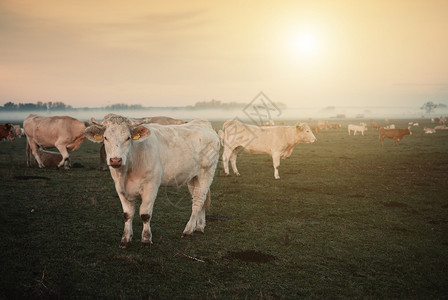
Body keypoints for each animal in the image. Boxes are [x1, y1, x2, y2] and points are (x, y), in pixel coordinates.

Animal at [82, 113, 220, 247]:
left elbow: (145, 214)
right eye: (105, 138)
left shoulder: (151, 186)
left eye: (128, 138)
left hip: (206, 172)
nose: (116, 160)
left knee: (198, 201)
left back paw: (188, 230)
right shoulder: (119, 187)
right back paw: (199, 227)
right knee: (199, 199)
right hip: (193, 177)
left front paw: (146, 239)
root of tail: (203, 123)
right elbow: (127, 214)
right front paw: (125, 239)